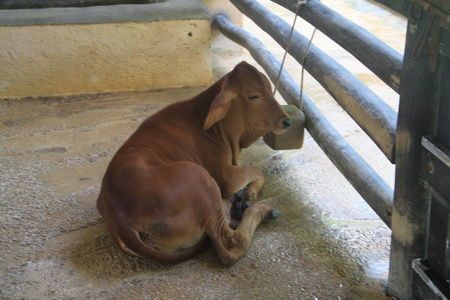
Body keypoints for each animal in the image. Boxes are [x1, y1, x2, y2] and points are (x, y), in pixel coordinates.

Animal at [96, 62, 292, 264]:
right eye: (253, 96)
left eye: (271, 89)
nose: (286, 121)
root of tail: (120, 219)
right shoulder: (225, 176)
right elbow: (256, 170)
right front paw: (248, 196)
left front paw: (245, 196)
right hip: (199, 178)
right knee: (230, 243)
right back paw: (260, 211)